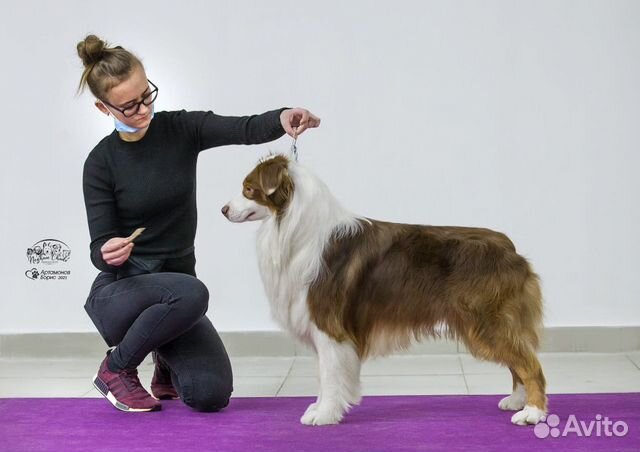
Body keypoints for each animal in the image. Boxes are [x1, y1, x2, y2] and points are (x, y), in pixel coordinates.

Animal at [222, 154, 548, 426]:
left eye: (248, 189)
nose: (223, 209)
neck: (291, 227)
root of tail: (509, 248)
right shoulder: (323, 329)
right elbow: (324, 374)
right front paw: (320, 407)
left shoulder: (329, 326)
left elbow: (329, 375)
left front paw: (324, 414)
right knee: (517, 362)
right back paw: (516, 401)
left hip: (485, 321)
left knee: (529, 364)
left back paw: (532, 413)